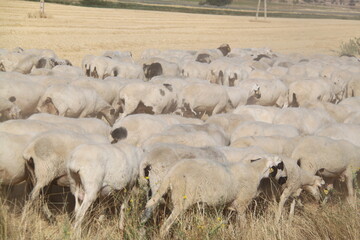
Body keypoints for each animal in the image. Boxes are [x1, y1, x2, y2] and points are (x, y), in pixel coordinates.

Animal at [141, 153, 284, 237]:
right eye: (280, 165)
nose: (284, 180)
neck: (254, 170)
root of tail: (172, 172)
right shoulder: (242, 203)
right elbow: (243, 223)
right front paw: (245, 232)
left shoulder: (229, 205)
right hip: (181, 200)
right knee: (165, 225)